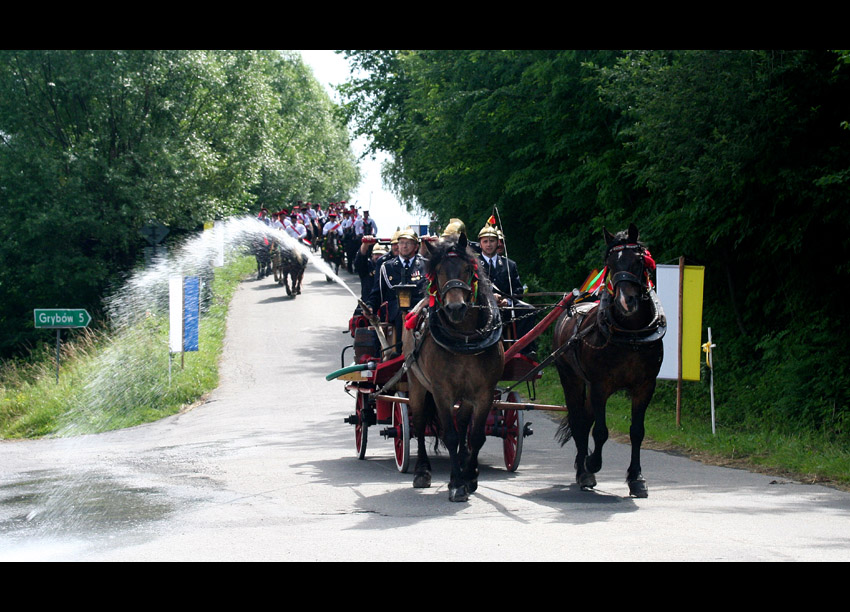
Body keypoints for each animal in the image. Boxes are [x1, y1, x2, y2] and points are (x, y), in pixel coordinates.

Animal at [400, 233, 500, 502]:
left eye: (467, 269)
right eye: (438, 271)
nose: (456, 308)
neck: (464, 339)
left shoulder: (484, 392)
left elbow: (476, 435)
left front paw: (470, 476)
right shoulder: (442, 392)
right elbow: (451, 435)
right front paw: (456, 483)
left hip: (465, 396)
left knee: (463, 424)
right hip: (417, 385)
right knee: (420, 424)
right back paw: (422, 471)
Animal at [552, 225, 664, 498]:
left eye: (638, 261)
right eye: (610, 264)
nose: (626, 302)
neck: (631, 334)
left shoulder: (645, 386)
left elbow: (637, 432)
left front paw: (637, 478)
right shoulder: (599, 386)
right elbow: (600, 431)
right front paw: (592, 463)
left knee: (584, 420)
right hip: (571, 379)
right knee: (578, 421)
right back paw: (584, 471)